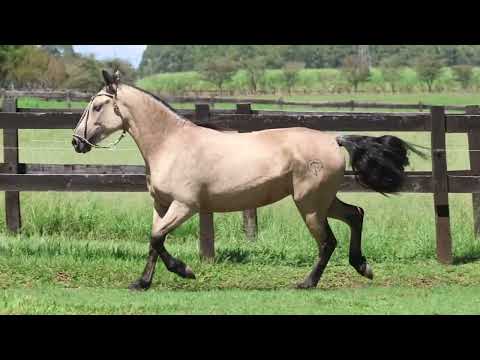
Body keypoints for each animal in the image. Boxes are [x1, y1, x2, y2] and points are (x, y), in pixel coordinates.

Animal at [71, 69, 424, 290]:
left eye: (98, 105)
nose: (76, 142)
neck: (170, 144)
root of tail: (334, 140)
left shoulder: (185, 206)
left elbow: (157, 239)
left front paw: (186, 271)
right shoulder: (161, 206)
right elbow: (154, 242)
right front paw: (142, 283)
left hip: (309, 204)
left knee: (327, 241)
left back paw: (307, 283)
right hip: (323, 200)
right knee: (355, 215)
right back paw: (362, 266)